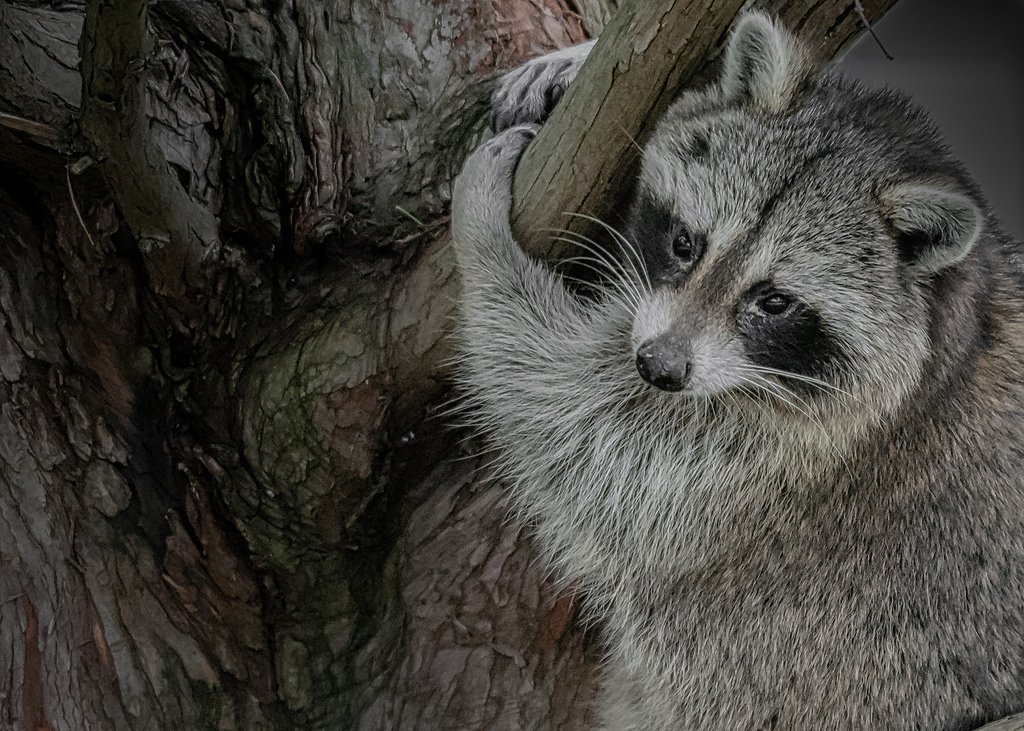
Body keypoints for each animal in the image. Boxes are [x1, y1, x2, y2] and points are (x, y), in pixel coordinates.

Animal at [450, 12, 1024, 730]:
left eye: (774, 301)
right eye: (685, 243)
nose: (659, 367)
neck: (950, 318)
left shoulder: (767, 466)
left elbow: (573, 426)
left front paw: (482, 238)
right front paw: (582, 58)